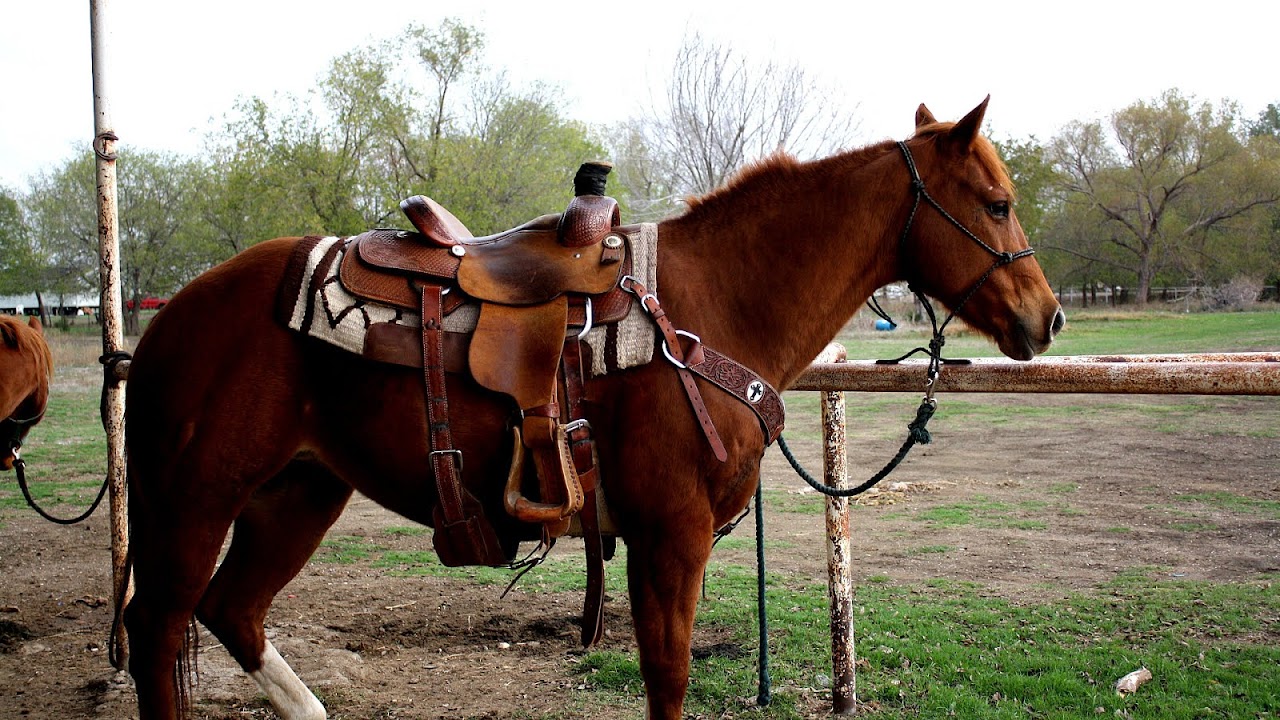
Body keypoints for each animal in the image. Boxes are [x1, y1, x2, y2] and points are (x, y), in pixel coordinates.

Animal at [120, 98, 1065, 720]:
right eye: (997, 203)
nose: (1048, 317)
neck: (713, 302)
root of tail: (173, 314)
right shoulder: (669, 535)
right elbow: (668, 677)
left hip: (300, 493)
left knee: (232, 613)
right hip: (195, 499)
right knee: (158, 628)